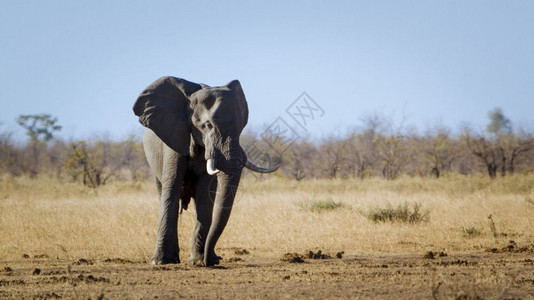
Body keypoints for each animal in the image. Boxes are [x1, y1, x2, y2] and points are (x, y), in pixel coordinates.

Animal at [133, 76, 280, 266]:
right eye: (207, 125)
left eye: (242, 127)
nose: (209, 260)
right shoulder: (174, 137)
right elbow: (171, 189)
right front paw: (160, 262)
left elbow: (204, 195)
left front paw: (198, 262)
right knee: (163, 193)